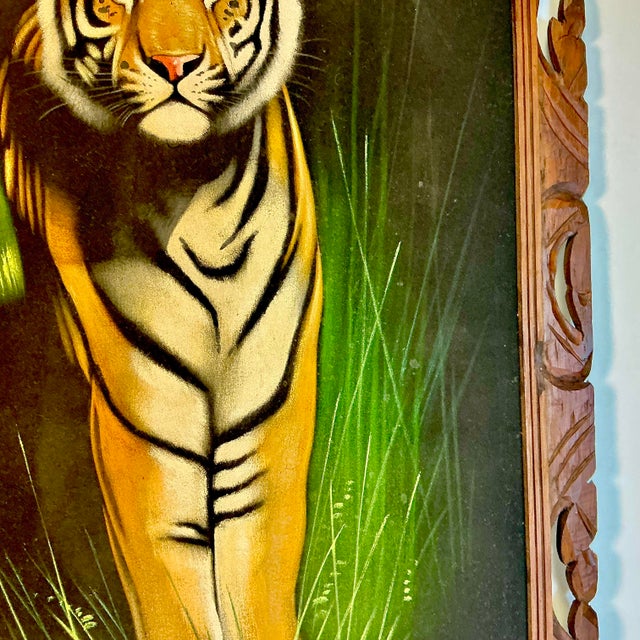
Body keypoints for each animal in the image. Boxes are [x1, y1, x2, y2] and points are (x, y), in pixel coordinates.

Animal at [0, 0, 321, 638]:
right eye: (113, 3)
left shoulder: (268, 436)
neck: (201, 198)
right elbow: (176, 605)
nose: (174, 64)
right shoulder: (147, 442)